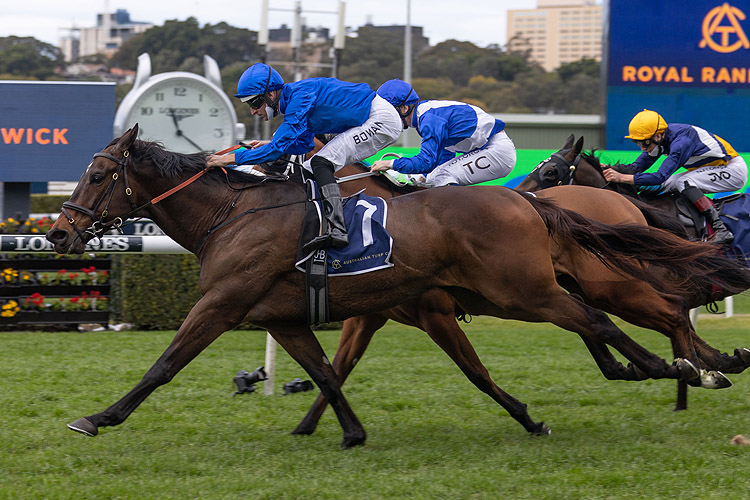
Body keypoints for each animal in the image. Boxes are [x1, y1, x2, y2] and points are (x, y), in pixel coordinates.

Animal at [48, 127, 750, 448]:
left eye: (99, 174)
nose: (58, 232)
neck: (233, 214)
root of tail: (526, 203)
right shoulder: (289, 316)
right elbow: (329, 371)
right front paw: (342, 430)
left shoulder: (222, 304)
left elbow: (163, 364)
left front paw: (98, 417)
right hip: (525, 291)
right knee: (611, 321)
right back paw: (697, 366)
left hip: (527, 291)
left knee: (629, 317)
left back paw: (685, 367)